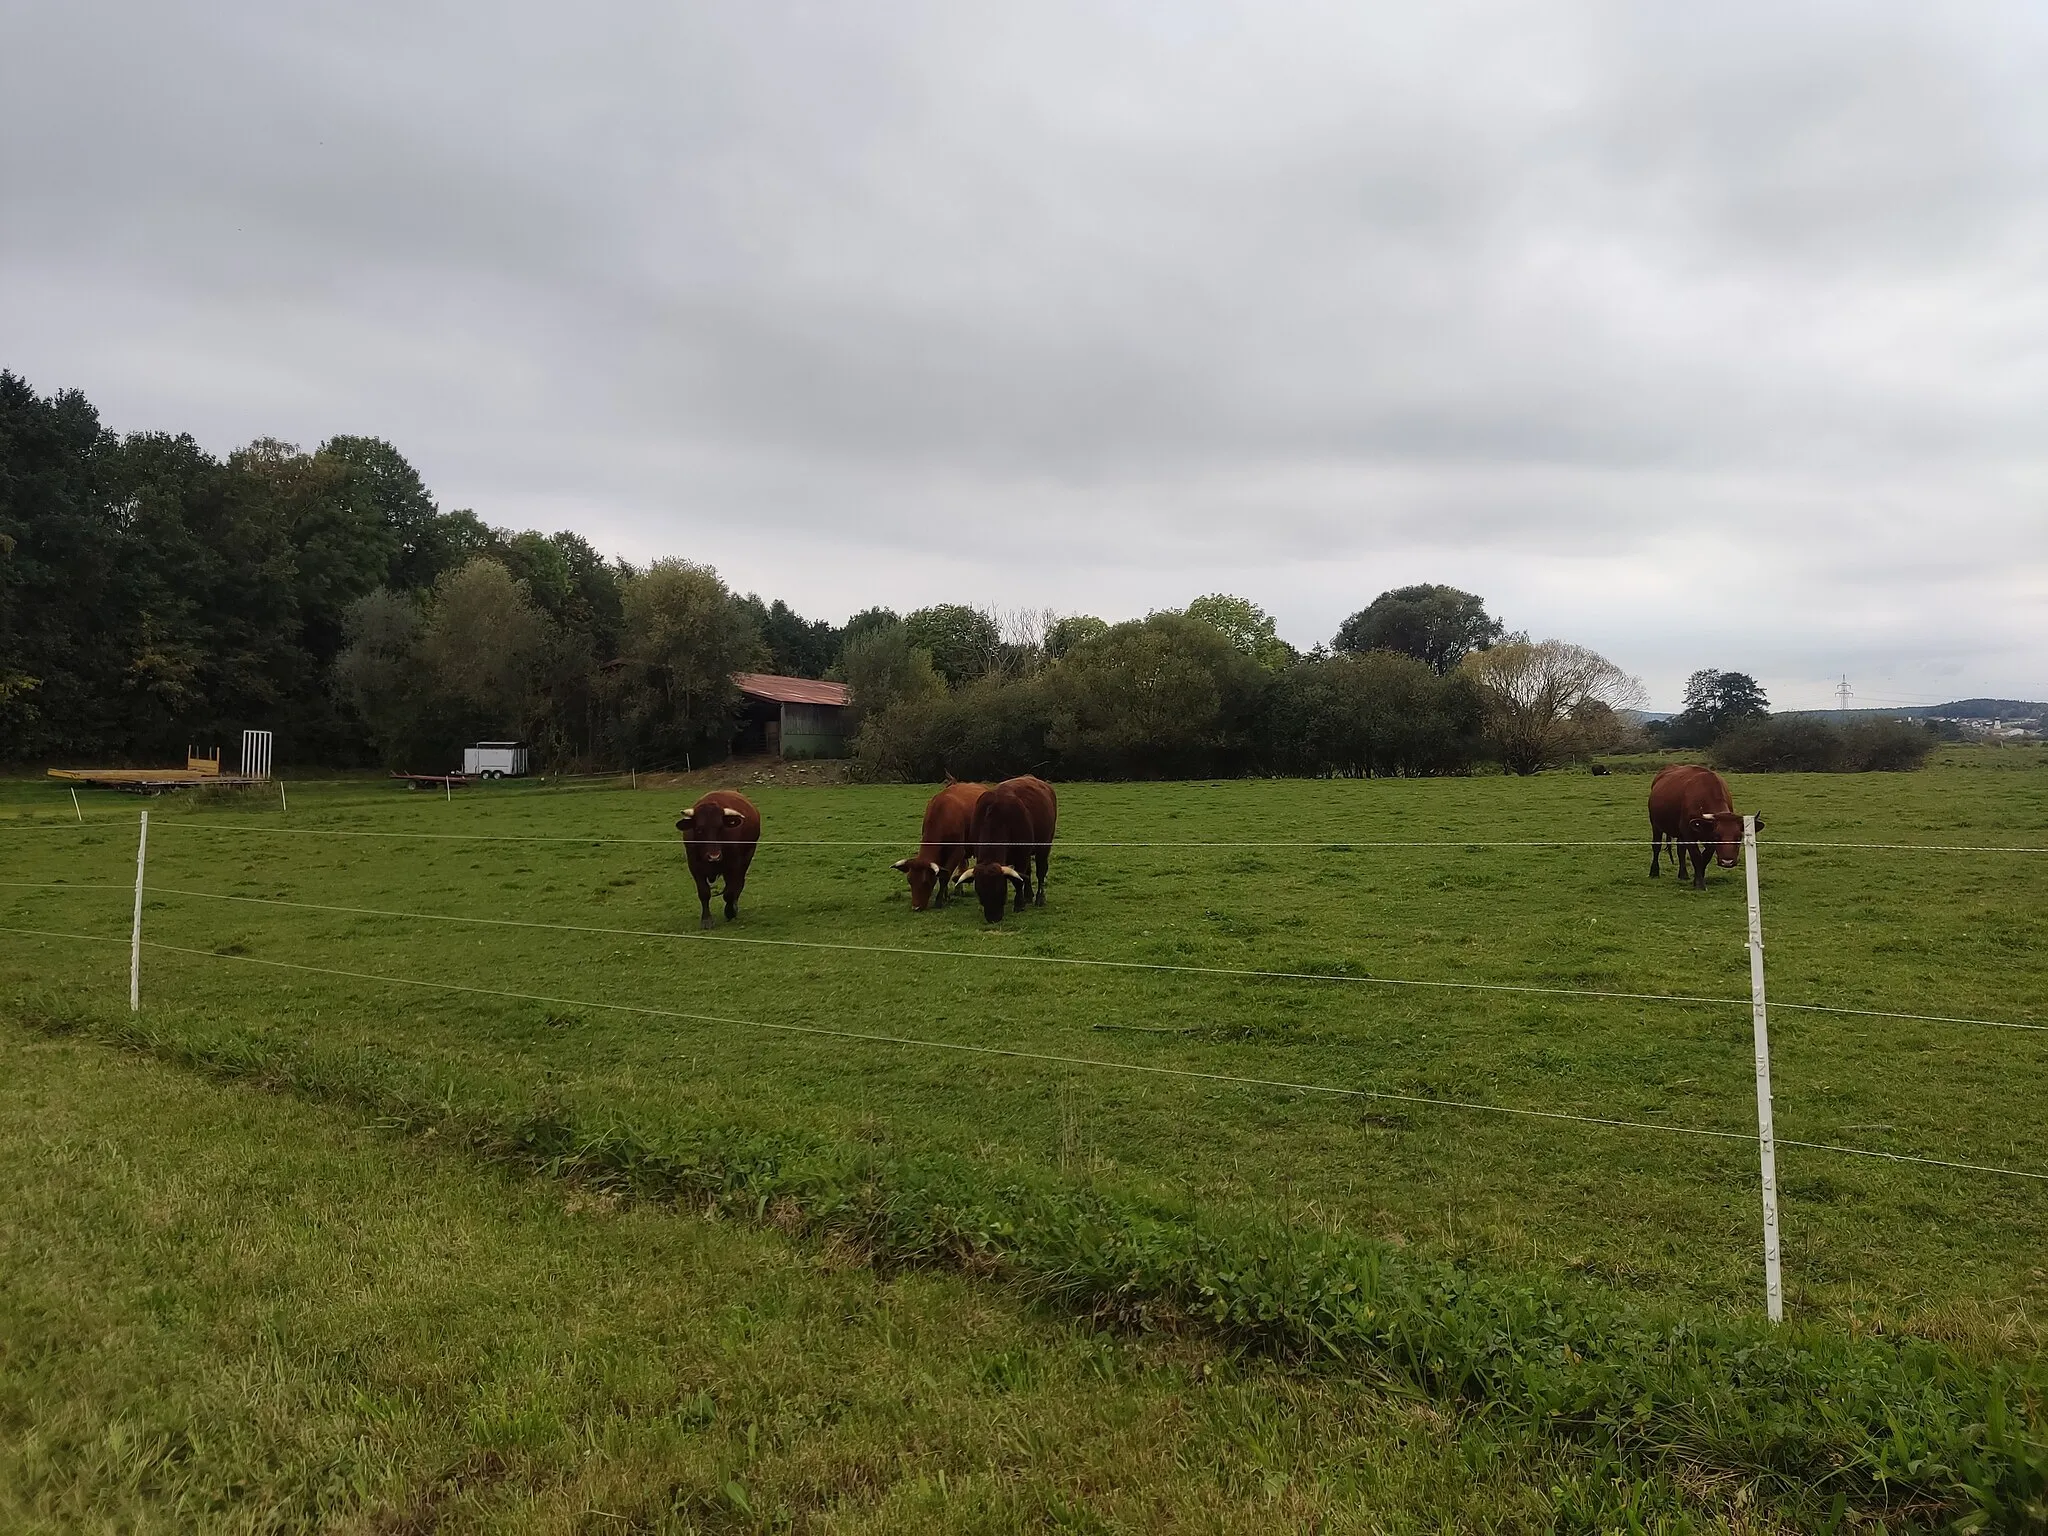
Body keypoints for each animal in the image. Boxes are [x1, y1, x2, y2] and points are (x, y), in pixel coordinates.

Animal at [675, 794, 765, 925]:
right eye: (699, 829)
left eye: (721, 828)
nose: (714, 856)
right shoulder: (694, 866)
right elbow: (704, 892)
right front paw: (706, 920)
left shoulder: (734, 865)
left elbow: (730, 892)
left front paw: (730, 911)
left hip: (747, 857)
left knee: (738, 884)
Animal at [892, 782, 987, 913]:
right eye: (909, 880)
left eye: (926, 881)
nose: (916, 907)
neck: (943, 814)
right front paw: (946, 896)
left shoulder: (956, 852)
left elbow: (944, 876)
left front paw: (939, 901)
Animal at [954, 782, 1056, 925]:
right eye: (980, 892)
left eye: (1001, 889)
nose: (993, 918)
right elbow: (1021, 876)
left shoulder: (1021, 855)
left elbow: (1018, 880)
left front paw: (1019, 904)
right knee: (1028, 873)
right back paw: (1028, 895)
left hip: (1044, 846)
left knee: (1041, 871)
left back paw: (1039, 898)